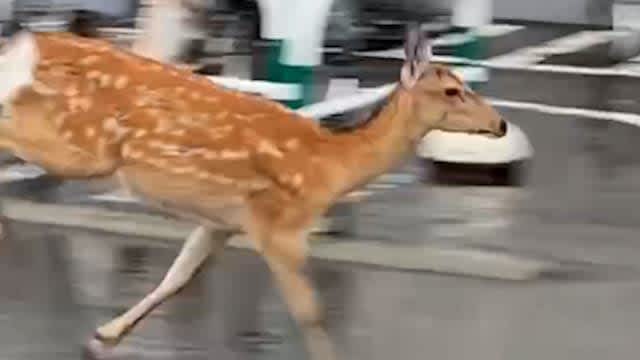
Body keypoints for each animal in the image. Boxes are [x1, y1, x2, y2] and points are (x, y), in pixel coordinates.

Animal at [0, 25, 504, 360]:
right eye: (452, 90)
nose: (499, 124)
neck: (332, 167)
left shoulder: (222, 222)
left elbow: (175, 279)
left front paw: (103, 336)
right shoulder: (278, 227)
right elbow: (310, 312)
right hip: (81, 145)